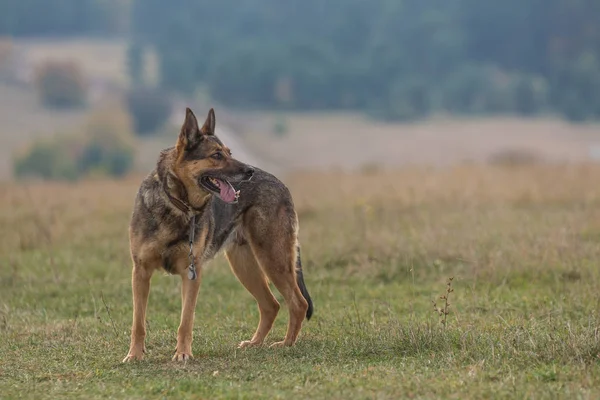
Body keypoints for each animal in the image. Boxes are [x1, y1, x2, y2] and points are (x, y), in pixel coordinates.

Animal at [124, 107, 316, 362]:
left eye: (229, 153)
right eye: (216, 155)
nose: (249, 172)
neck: (178, 205)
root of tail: (281, 185)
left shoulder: (191, 274)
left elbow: (185, 321)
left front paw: (183, 354)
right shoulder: (141, 272)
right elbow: (138, 322)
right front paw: (134, 355)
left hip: (272, 261)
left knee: (298, 303)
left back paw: (286, 344)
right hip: (245, 266)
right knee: (271, 305)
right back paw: (255, 343)